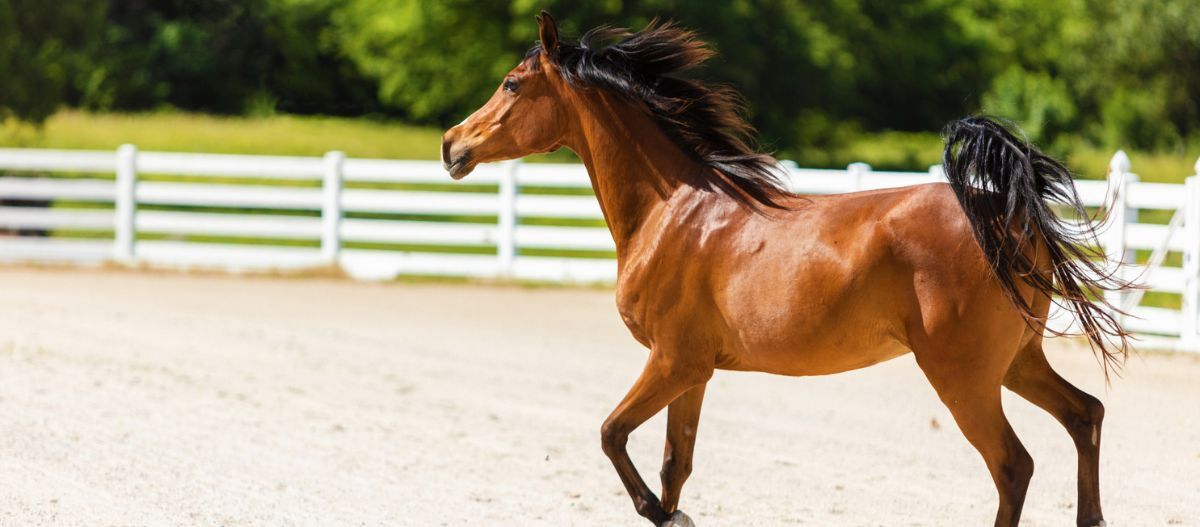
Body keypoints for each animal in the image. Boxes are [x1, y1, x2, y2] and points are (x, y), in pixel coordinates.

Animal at [441, 12, 1130, 527]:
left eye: (511, 83)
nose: (452, 145)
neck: (673, 211)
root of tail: (1007, 217)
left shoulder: (670, 361)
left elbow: (613, 436)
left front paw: (667, 515)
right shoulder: (694, 371)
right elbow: (674, 465)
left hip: (964, 377)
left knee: (1014, 466)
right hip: (1016, 362)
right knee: (1086, 415)